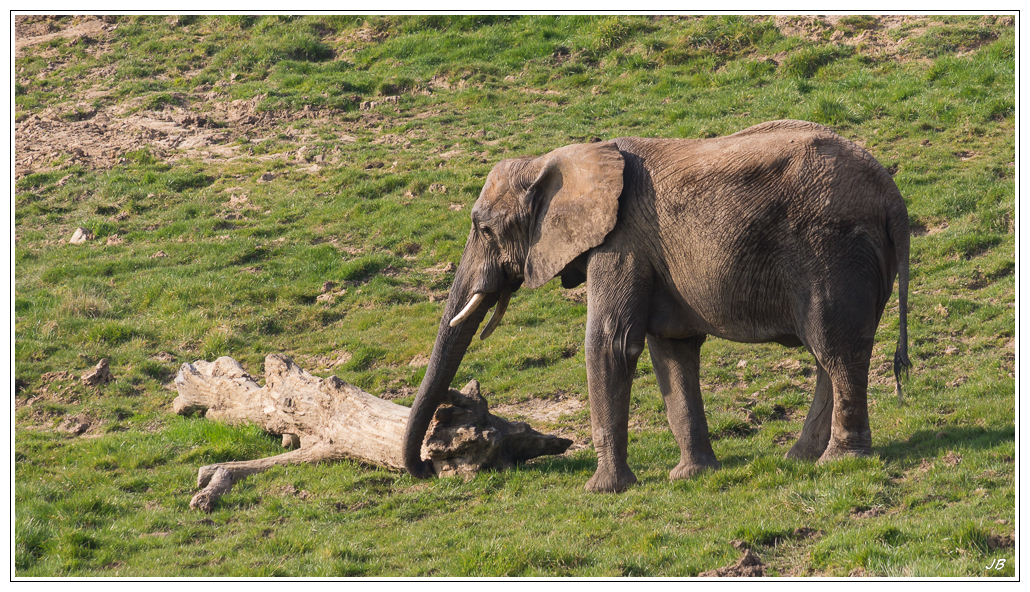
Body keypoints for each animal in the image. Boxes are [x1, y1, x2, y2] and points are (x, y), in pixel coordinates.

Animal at [399, 118, 910, 494]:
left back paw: (838, 462)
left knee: (836, 349)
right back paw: (800, 458)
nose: (426, 470)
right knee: (829, 354)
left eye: (483, 229)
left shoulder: (620, 242)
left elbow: (610, 344)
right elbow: (672, 348)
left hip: (834, 251)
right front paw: (692, 476)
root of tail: (893, 195)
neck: (560, 158)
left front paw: (602, 491)